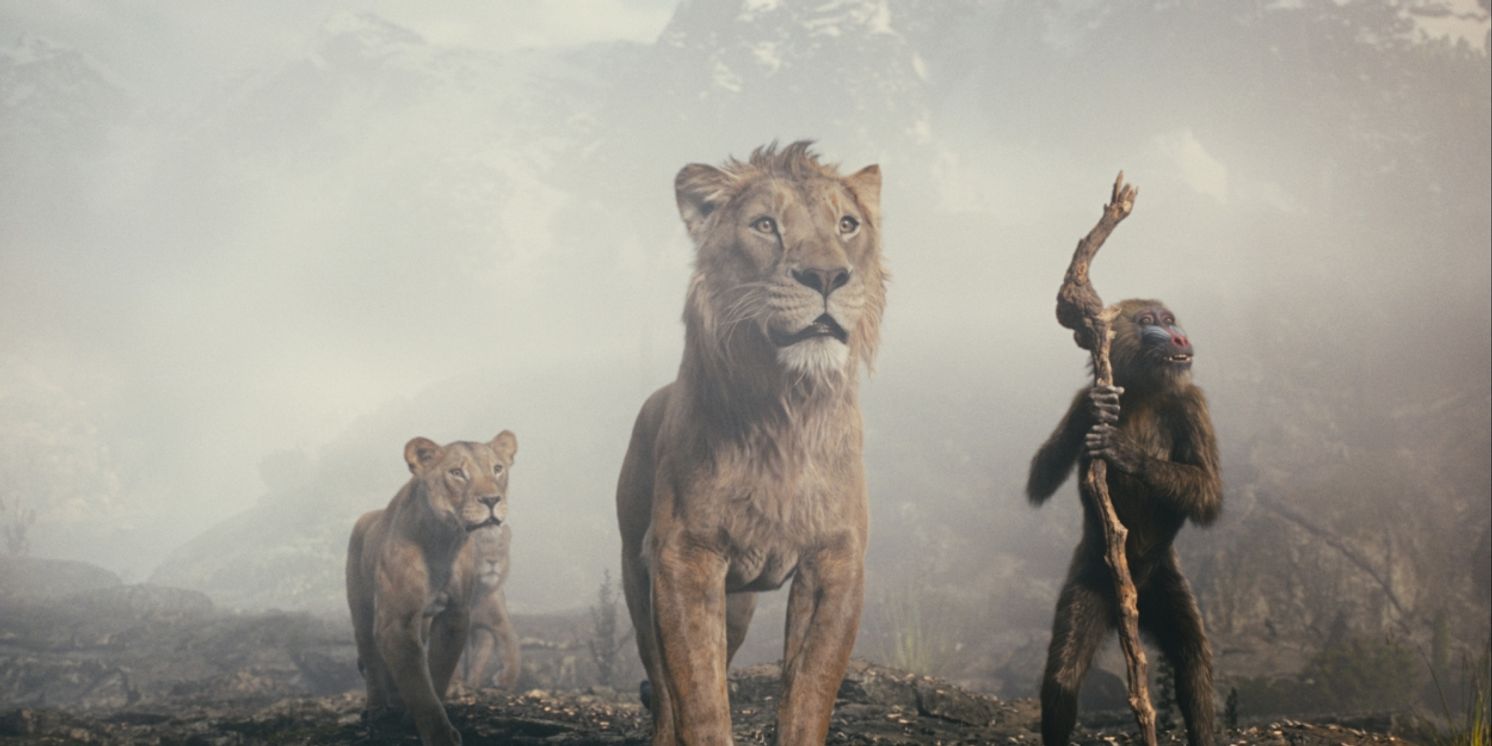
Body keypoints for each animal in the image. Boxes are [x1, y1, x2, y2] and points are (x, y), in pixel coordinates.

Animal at [346, 431, 518, 746]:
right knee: (371, 659)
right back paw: (377, 710)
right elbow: (417, 684)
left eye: (498, 469)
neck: (443, 540)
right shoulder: (396, 622)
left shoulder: (455, 615)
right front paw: (439, 735)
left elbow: (438, 670)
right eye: (457, 473)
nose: (491, 499)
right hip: (361, 610)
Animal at [616, 141, 886, 745]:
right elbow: (699, 698)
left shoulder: (836, 561)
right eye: (765, 225)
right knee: (663, 686)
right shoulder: (684, 557)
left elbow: (809, 692)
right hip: (638, 577)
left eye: (848, 224)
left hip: (737, 603)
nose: (826, 274)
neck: (786, 409)